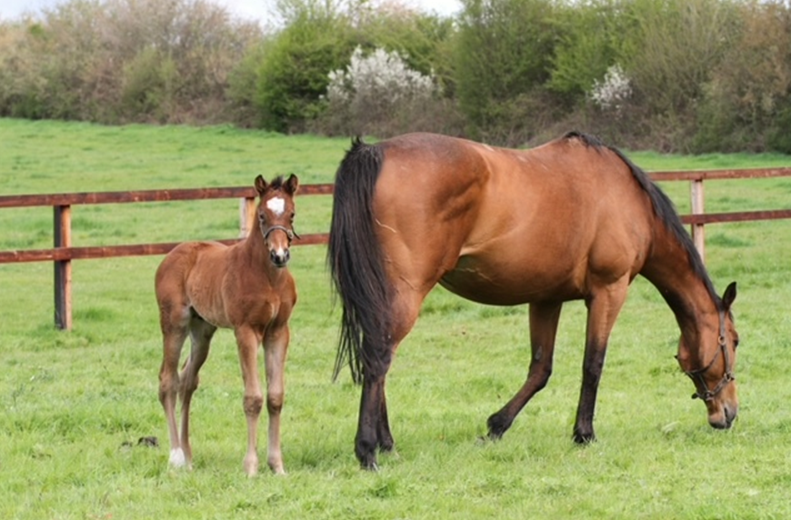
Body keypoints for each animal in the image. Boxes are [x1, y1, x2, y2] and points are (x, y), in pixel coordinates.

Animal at [156, 174, 299, 476]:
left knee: (187, 381)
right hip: (174, 324)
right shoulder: (245, 331)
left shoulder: (279, 332)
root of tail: (172, 254)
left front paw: (277, 466)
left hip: (202, 331)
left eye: (291, 214)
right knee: (168, 380)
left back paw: (188, 456)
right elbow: (253, 398)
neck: (268, 277)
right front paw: (251, 467)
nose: (280, 255)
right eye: (261, 215)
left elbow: (275, 397)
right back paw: (176, 456)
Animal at [328, 132, 739, 470]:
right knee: (379, 359)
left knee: (379, 361)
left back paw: (387, 445)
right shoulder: (609, 291)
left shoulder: (546, 298)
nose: (729, 414)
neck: (626, 198)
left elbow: (540, 369)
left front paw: (496, 427)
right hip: (405, 294)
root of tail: (373, 152)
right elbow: (593, 364)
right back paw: (369, 451)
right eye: (734, 342)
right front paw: (584, 433)